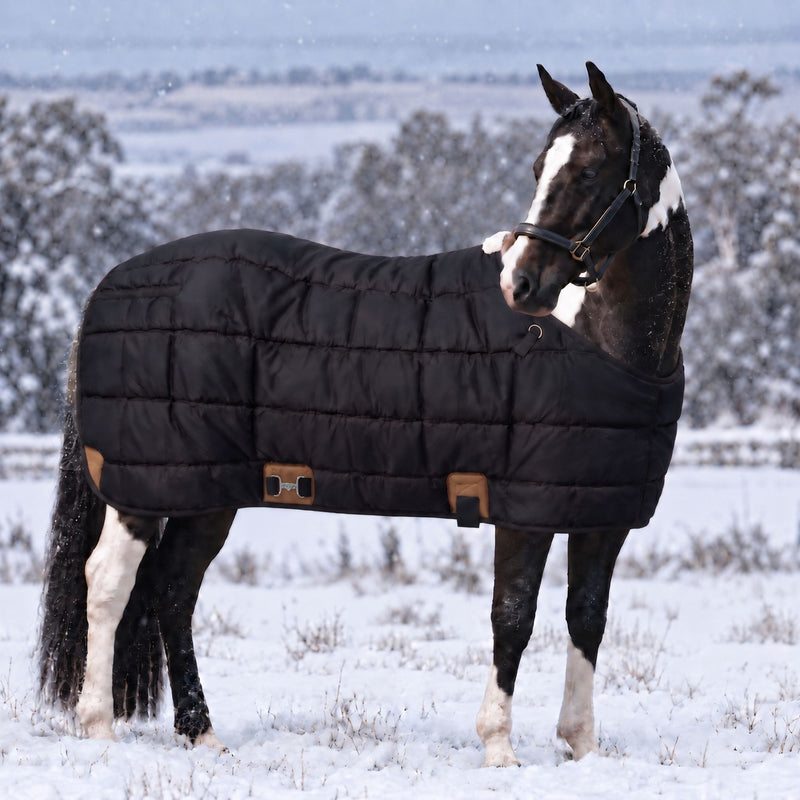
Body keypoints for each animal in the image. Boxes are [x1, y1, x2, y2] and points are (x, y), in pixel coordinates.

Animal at [37, 62, 692, 766]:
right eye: (541, 167)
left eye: (590, 172)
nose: (519, 286)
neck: (593, 340)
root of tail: (110, 285)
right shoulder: (526, 509)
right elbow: (513, 617)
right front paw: (499, 750)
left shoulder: (602, 514)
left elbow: (586, 619)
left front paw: (581, 746)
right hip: (146, 488)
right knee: (109, 582)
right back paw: (100, 729)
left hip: (207, 493)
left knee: (172, 589)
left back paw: (201, 734)